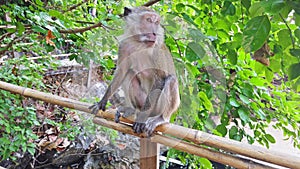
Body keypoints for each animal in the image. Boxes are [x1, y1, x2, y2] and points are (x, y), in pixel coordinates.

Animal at [89, 6, 180, 137]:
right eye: (148, 20)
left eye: (156, 22)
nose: (154, 33)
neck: (140, 43)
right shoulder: (124, 45)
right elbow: (122, 72)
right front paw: (102, 102)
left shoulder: (156, 51)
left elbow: (160, 79)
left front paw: (142, 120)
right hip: (142, 100)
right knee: (130, 74)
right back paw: (132, 109)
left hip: (155, 107)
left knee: (171, 80)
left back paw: (160, 118)